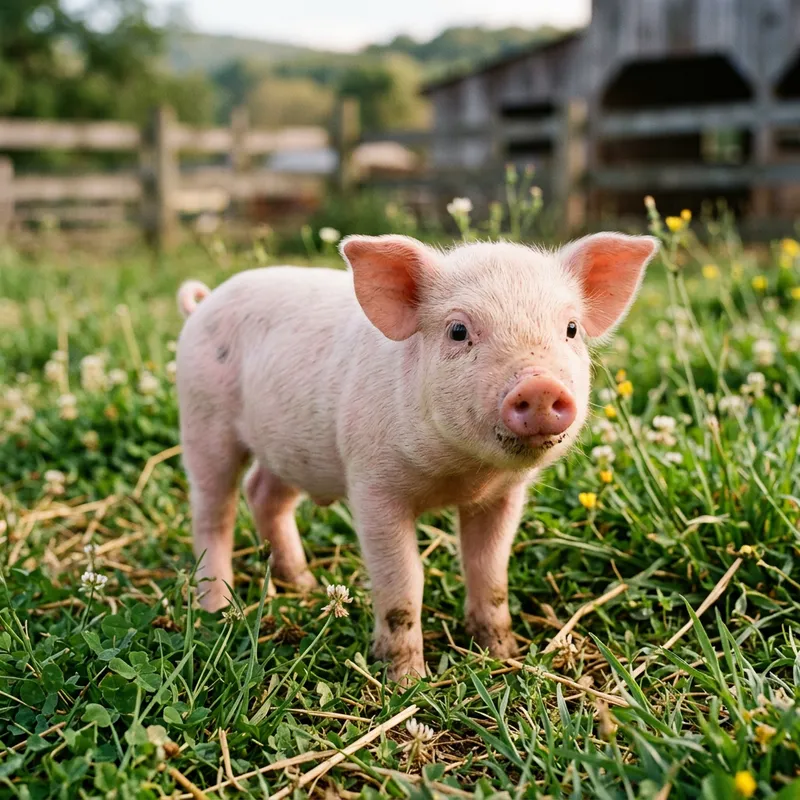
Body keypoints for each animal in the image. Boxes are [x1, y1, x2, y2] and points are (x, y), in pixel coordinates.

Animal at [175, 233, 658, 681]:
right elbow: (404, 580)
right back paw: (215, 608)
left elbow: (489, 569)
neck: (462, 474)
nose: (539, 386)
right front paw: (407, 680)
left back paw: (306, 586)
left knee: (264, 494)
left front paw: (503, 653)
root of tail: (202, 306)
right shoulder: (373, 486)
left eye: (571, 328)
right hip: (203, 419)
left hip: (289, 448)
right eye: (458, 330)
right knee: (214, 511)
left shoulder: (503, 496)